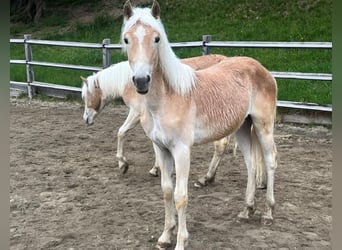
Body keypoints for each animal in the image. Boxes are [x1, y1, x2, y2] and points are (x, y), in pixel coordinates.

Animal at [81, 54, 235, 184]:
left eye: (85, 96)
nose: (86, 119)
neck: (129, 82)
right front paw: (157, 168)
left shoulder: (136, 113)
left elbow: (121, 132)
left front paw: (123, 164)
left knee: (220, 145)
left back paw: (206, 178)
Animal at [121, 0, 278, 249]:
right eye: (127, 39)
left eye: (157, 38)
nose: (141, 81)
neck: (167, 98)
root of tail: (261, 68)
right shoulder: (161, 148)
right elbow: (167, 191)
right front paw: (165, 236)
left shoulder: (182, 150)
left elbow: (180, 196)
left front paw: (180, 241)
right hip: (243, 127)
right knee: (251, 164)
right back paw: (246, 210)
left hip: (263, 125)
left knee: (270, 160)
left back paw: (268, 214)